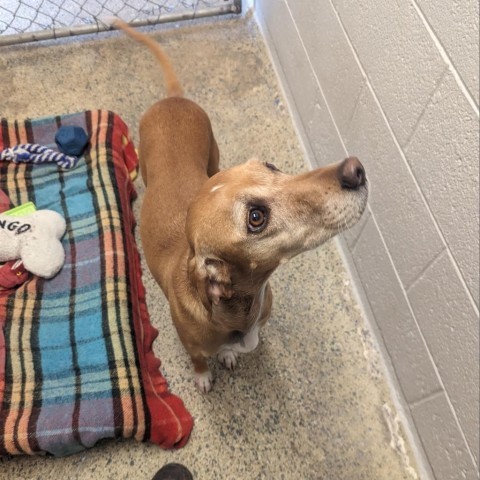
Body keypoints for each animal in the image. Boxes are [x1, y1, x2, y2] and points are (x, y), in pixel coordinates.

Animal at [113, 19, 368, 394]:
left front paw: (229, 356)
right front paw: (204, 376)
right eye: (256, 218)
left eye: (272, 166)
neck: (243, 304)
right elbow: (199, 361)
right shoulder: (192, 347)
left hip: (213, 155)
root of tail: (172, 98)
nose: (355, 170)